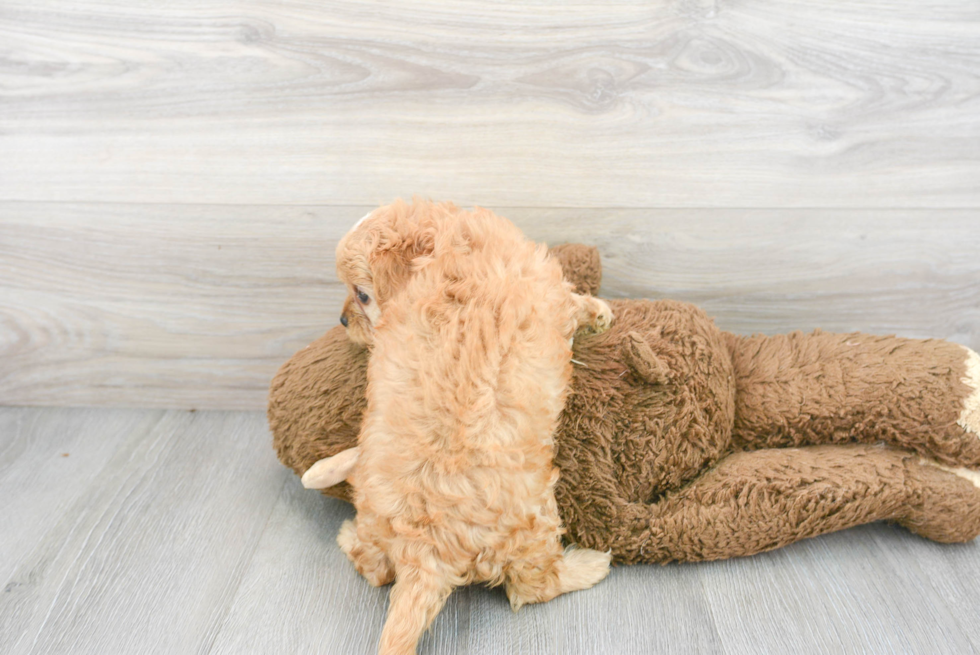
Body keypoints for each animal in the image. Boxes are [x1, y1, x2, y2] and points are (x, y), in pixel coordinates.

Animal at [336, 201, 612, 655]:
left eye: (361, 295)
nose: (342, 321)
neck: (446, 241)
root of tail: (422, 553)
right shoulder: (547, 291)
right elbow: (573, 304)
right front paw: (599, 310)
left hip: (376, 516)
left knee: (373, 567)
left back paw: (347, 536)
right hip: (532, 521)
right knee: (533, 587)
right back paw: (589, 565)